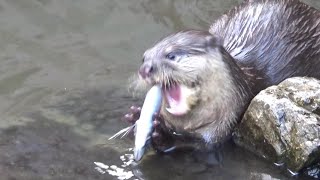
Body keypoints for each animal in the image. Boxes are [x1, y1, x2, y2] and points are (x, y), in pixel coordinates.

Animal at [124, 0, 318, 153]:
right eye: (144, 57)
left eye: (171, 55)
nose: (145, 69)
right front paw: (136, 116)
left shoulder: (226, 122)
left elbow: (199, 145)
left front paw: (162, 133)